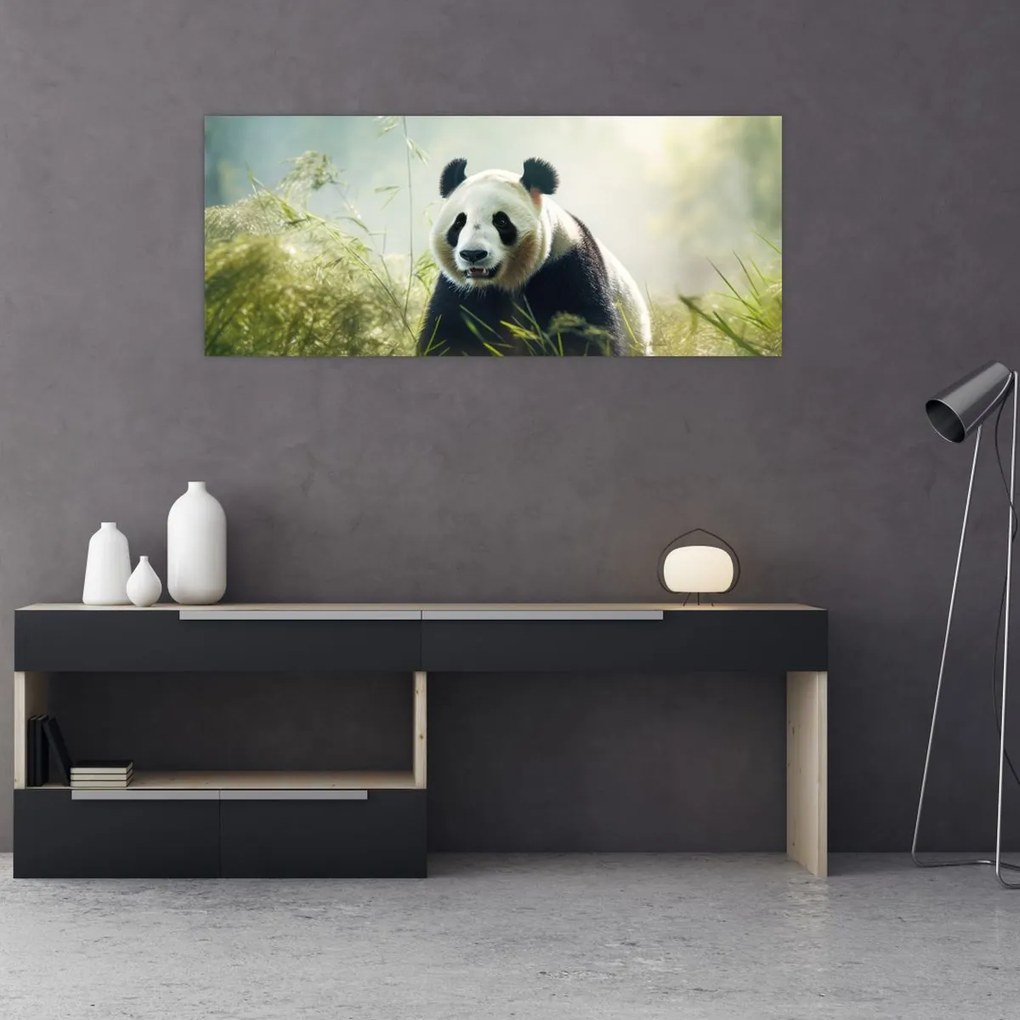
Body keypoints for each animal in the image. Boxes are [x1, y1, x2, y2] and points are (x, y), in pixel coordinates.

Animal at [418, 157, 652, 356]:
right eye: (459, 222)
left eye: (501, 221)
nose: (473, 254)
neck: (505, 282)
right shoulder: (459, 291)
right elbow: (449, 334)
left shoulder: (567, 267)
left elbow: (584, 331)